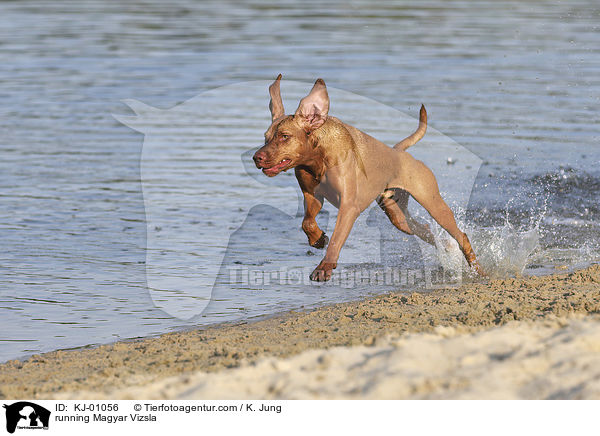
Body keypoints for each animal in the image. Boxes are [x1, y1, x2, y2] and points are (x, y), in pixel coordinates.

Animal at [252, 75, 482, 282]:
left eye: (284, 136)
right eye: (266, 137)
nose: (256, 157)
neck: (318, 158)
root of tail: (399, 152)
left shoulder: (349, 207)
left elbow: (336, 240)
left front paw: (324, 267)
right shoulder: (312, 196)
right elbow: (307, 222)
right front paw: (317, 239)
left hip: (434, 204)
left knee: (461, 236)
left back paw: (478, 269)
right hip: (398, 216)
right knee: (426, 230)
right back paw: (447, 251)